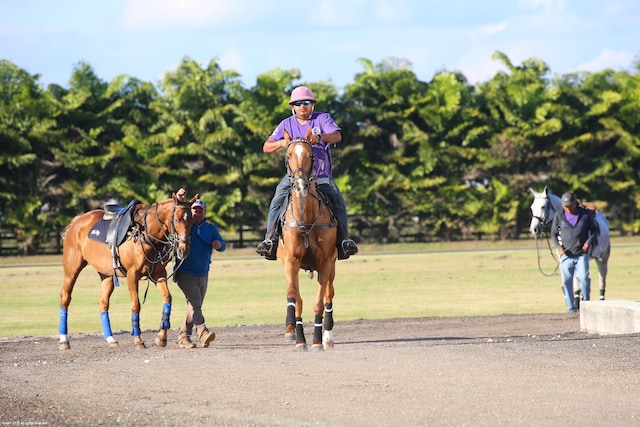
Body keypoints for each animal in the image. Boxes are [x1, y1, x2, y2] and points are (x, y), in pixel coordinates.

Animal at [59, 196, 195, 350]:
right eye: (177, 220)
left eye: (192, 221)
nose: (184, 249)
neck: (146, 233)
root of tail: (76, 221)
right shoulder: (132, 275)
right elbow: (136, 305)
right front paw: (138, 340)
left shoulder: (159, 274)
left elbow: (167, 298)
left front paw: (161, 337)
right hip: (72, 269)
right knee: (65, 297)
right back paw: (63, 340)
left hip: (107, 274)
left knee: (103, 302)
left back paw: (111, 339)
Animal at [280, 130, 340, 352]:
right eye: (288, 155)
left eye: (311, 155)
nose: (300, 186)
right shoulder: (291, 261)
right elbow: (295, 298)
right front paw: (298, 338)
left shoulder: (325, 263)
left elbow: (319, 303)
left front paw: (316, 341)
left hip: (333, 264)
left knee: (329, 295)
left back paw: (328, 338)